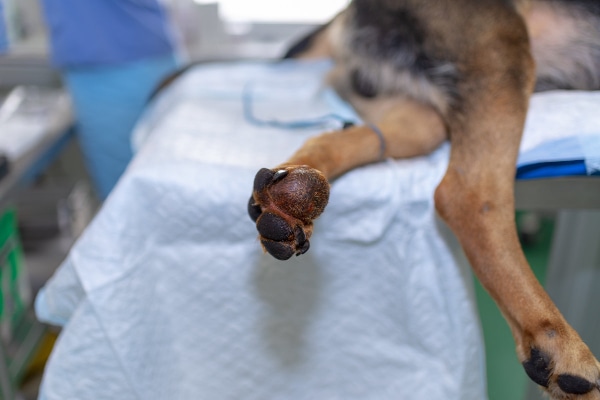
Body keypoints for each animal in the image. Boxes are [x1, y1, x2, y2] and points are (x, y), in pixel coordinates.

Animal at [247, 1, 600, 398]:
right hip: (499, 50)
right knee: (467, 195)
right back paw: (556, 341)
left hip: (419, 116)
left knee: (350, 137)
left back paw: (285, 200)